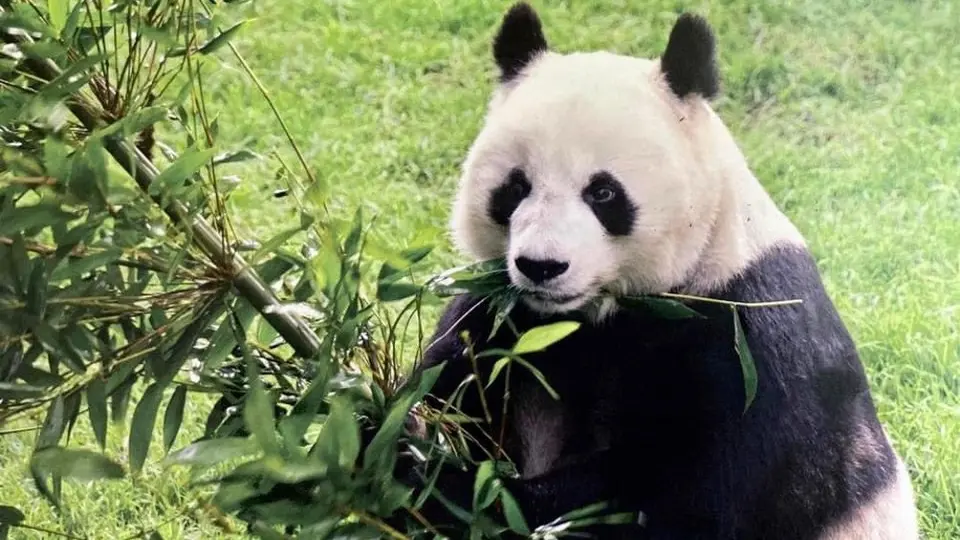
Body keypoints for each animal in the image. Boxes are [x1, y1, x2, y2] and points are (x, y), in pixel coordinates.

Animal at [400, 3, 920, 539]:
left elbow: (679, 500)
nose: (542, 266)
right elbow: (448, 384)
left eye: (603, 192)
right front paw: (395, 434)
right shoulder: (500, 318)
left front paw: (440, 481)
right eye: (516, 186)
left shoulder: (747, 342)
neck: (592, 314)